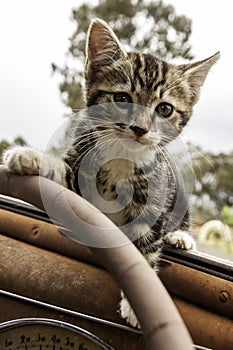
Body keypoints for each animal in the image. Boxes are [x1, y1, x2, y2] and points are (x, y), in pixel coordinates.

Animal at [3, 18, 218, 326]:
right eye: (122, 97)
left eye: (165, 109)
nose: (140, 129)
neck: (122, 158)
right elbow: (64, 176)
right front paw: (29, 157)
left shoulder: (156, 197)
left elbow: (146, 245)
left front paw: (140, 302)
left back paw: (182, 237)